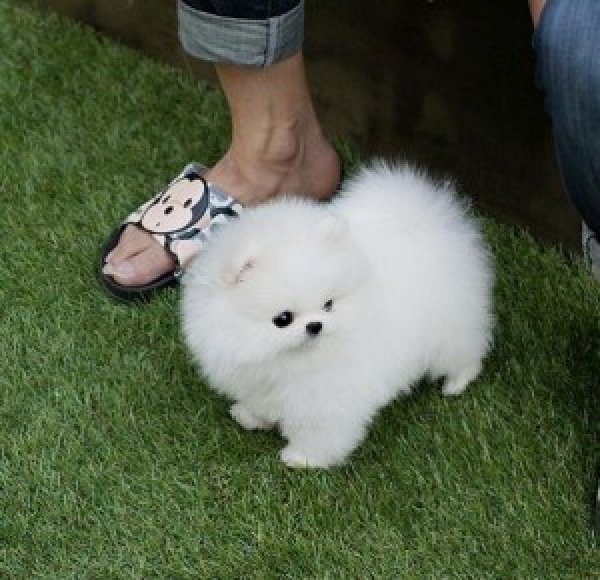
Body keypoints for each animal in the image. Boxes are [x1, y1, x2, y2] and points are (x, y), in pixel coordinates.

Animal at [180, 161, 494, 468]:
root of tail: (424, 223)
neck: (286, 360)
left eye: (328, 304)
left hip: (451, 328)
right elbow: (260, 403)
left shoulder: (328, 397)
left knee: (465, 355)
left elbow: (322, 432)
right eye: (283, 319)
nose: (315, 325)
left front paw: (303, 458)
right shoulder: (256, 380)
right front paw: (250, 417)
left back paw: (456, 383)